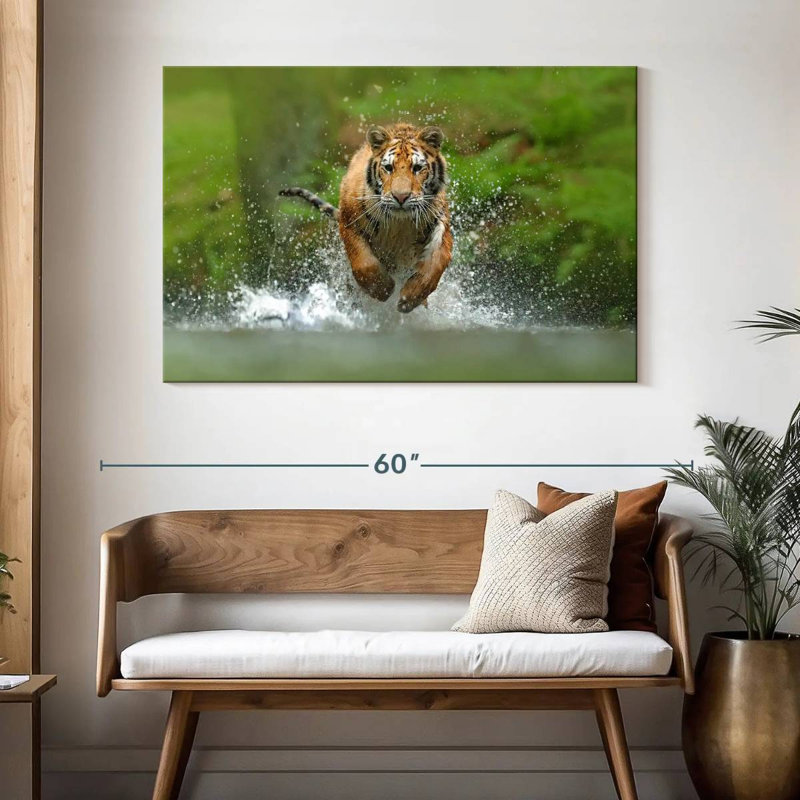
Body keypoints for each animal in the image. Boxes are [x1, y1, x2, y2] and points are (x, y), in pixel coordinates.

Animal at [280, 123, 452, 313]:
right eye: (388, 168)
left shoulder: (440, 222)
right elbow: (364, 262)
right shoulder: (349, 222)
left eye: (417, 168)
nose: (400, 197)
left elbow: (437, 262)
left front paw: (410, 298)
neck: (400, 222)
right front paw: (383, 289)